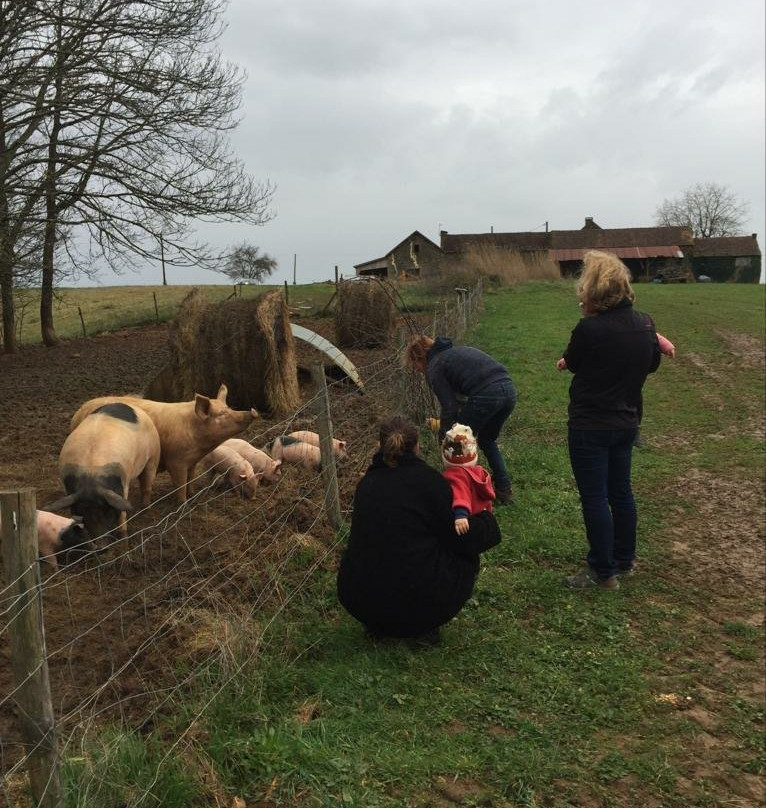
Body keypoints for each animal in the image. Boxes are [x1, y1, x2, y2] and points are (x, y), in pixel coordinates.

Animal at [47, 402, 162, 540]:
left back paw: (144, 509)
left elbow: (122, 509)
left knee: (147, 485)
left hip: (154, 454)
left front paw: (123, 536)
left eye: (106, 511)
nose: (100, 542)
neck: (90, 472)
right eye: (82, 512)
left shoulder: (123, 482)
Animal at [72, 384, 258, 502]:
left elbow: (190, 479)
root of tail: (77, 413)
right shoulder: (176, 460)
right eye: (221, 414)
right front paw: (183, 503)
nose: (252, 411)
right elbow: (180, 484)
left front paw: (193, 495)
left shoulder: (192, 462)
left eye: (229, 408)